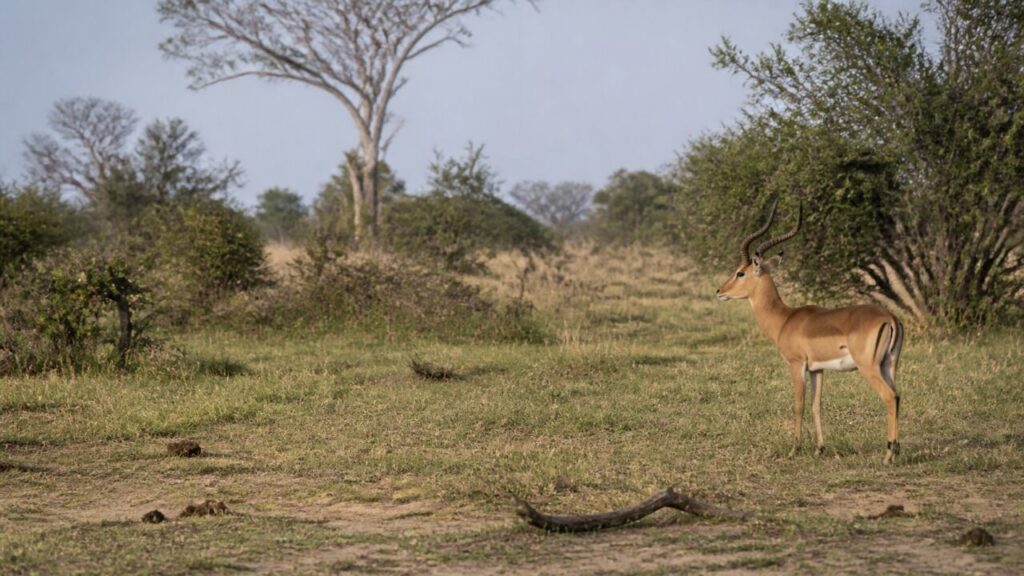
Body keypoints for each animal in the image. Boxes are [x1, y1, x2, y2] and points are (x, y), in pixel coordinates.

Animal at [716, 201, 904, 463]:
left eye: (740, 272)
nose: (719, 291)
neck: (784, 319)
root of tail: (889, 318)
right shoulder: (817, 369)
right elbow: (816, 405)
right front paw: (819, 448)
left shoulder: (797, 365)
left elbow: (799, 404)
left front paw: (794, 449)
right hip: (889, 365)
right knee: (898, 397)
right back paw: (896, 452)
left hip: (869, 367)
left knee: (889, 397)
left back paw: (887, 455)